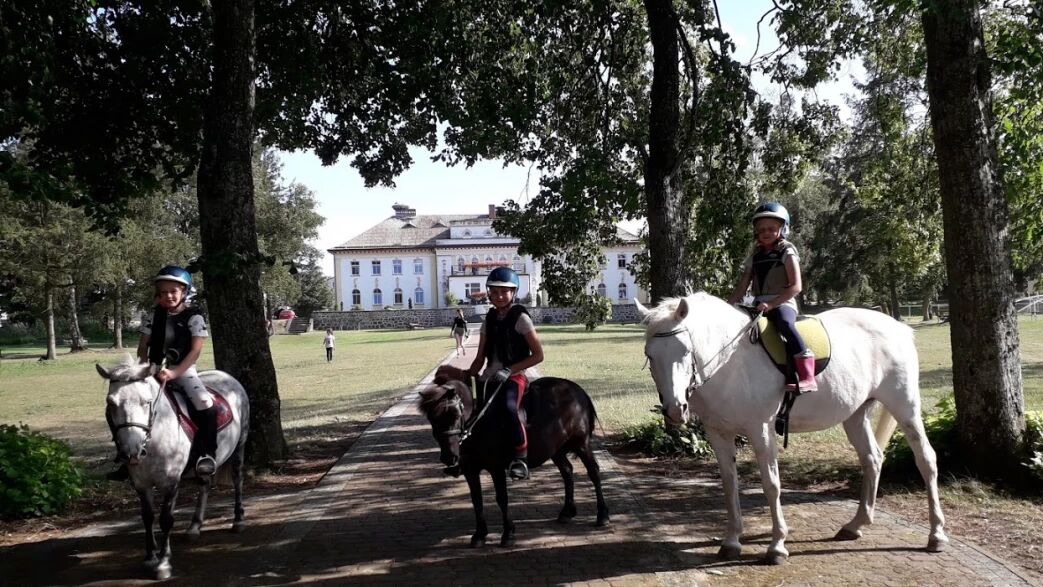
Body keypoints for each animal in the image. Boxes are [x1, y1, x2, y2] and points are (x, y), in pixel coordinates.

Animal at [96, 356, 249, 580]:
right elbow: (148, 517)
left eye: (146, 402)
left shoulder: (170, 481)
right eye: (111, 403)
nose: (131, 451)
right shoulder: (141, 484)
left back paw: (238, 520)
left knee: (237, 479)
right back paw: (194, 527)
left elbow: (166, 519)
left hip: (240, 445)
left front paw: (163, 563)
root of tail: (227, 377)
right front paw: (150, 557)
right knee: (205, 484)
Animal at [418, 365, 610, 547]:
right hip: (556, 448)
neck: (479, 423)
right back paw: (567, 511)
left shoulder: (496, 468)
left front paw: (508, 533)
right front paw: (480, 534)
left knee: (593, 472)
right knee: (567, 471)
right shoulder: (470, 470)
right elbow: (476, 499)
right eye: (431, 418)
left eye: (454, 414)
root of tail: (578, 390)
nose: (448, 457)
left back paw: (602, 515)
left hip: (581, 443)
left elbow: (502, 498)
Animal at [637, 293, 947, 564]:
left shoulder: (760, 430)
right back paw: (855, 525)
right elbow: (729, 484)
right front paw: (732, 541)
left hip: (905, 407)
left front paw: (776, 546)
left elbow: (771, 485)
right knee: (872, 459)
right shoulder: (719, 434)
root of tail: (898, 328)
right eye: (650, 355)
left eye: (685, 351)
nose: (675, 409)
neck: (731, 362)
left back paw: (936, 535)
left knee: (926, 459)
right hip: (856, 414)